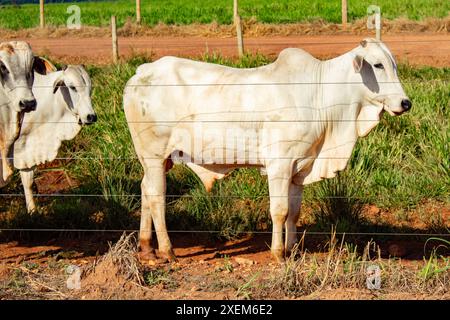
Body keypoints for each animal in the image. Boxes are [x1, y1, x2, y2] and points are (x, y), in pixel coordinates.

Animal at [13, 65, 96, 212]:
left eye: (90, 88)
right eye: (72, 87)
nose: (91, 116)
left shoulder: (25, 150)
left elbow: (28, 182)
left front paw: (32, 211)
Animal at [123, 38, 412, 262]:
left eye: (394, 65)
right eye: (378, 65)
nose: (405, 103)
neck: (320, 95)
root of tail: (142, 71)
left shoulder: (300, 168)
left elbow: (294, 212)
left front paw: (293, 249)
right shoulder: (279, 165)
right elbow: (279, 210)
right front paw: (278, 254)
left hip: (158, 160)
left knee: (145, 189)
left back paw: (147, 248)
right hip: (154, 155)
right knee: (157, 197)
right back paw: (167, 251)